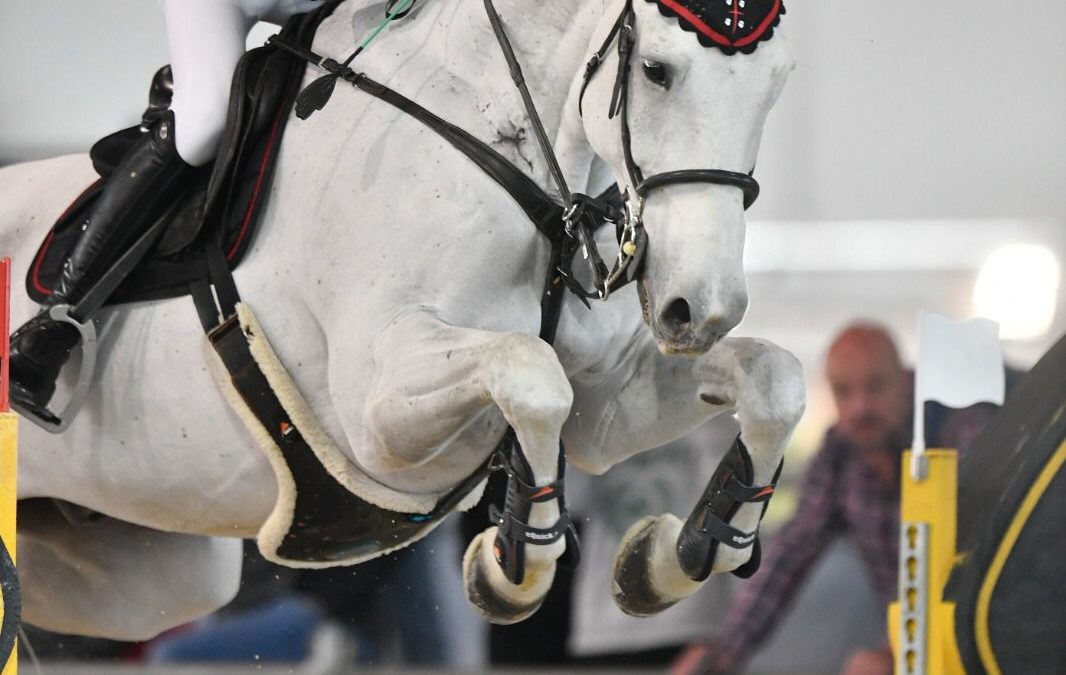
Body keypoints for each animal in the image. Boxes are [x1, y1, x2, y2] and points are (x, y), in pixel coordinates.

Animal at [0, 0, 801, 635]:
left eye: (778, 83)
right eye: (658, 71)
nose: (701, 308)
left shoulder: (608, 406)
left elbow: (775, 379)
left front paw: (680, 552)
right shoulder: (371, 416)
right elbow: (530, 369)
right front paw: (515, 559)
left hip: (141, 572)